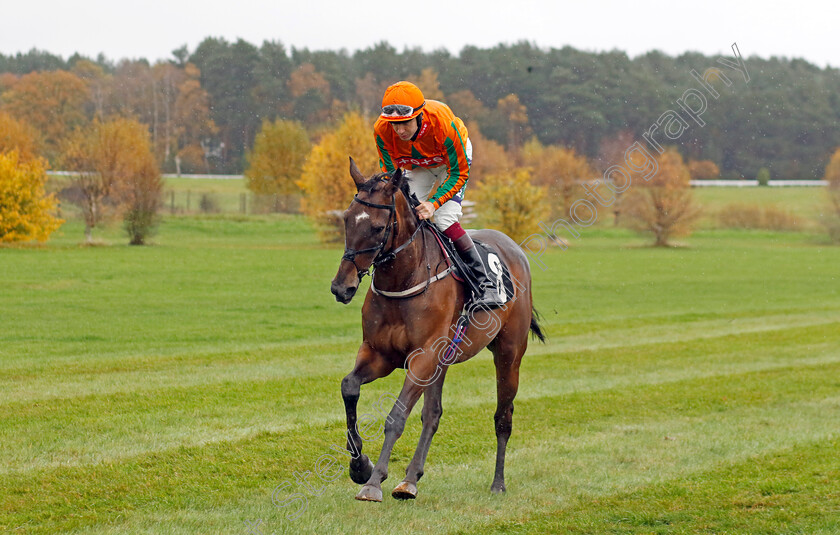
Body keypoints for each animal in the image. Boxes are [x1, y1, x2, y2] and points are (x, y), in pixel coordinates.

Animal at [328, 158, 544, 502]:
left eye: (377, 227)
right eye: (347, 220)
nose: (341, 287)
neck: (405, 278)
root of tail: (514, 248)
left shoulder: (424, 355)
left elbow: (397, 415)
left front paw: (373, 482)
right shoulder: (380, 353)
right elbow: (349, 387)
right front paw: (360, 466)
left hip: (509, 353)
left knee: (503, 417)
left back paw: (498, 482)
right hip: (443, 361)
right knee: (433, 414)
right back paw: (409, 480)